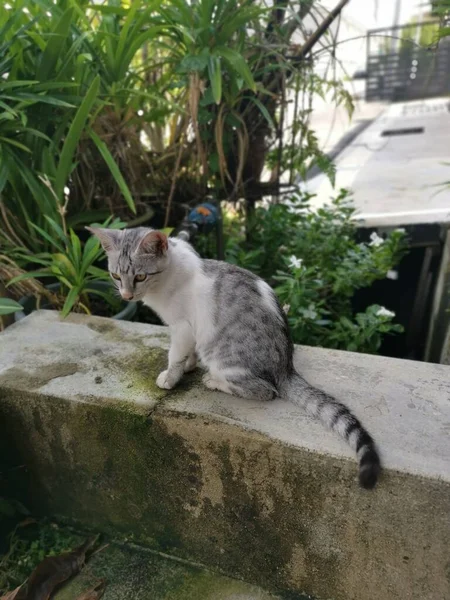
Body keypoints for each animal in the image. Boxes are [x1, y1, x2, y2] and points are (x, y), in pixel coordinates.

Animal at [87, 225, 380, 488]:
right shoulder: (189, 331)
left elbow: (175, 356)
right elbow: (187, 354)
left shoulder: (182, 327)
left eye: (139, 277)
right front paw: (189, 366)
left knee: (264, 390)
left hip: (224, 357)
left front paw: (170, 378)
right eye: (115, 275)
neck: (170, 274)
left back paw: (214, 381)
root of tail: (286, 367)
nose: (126, 295)